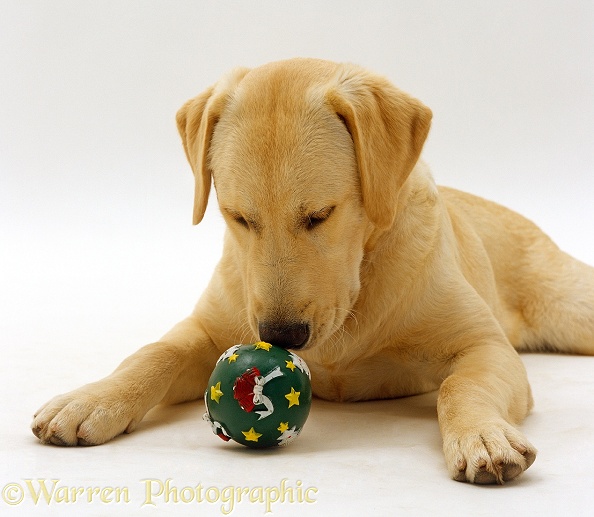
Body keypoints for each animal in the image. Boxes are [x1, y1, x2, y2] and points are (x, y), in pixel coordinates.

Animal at [32, 57, 592, 484]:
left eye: (321, 215)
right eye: (239, 217)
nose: (281, 336)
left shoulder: (484, 346)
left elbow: (461, 388)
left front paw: (481, 436)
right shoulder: (207, 327)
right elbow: (154, 354)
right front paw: (91, 399)